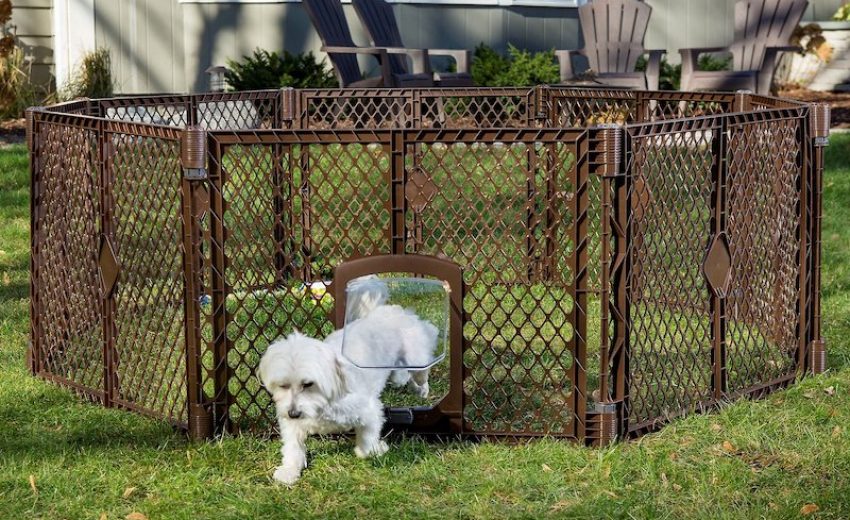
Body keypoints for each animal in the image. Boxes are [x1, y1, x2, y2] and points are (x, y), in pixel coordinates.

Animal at [258, 278, 438, 486]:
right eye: (283, 385)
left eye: (308, 384)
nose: (293, 413)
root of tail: (389, 310)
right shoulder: (293, 424)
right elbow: (293, 447)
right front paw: (289, 471)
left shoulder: (368, 410)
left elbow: (367, 440)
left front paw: (375, 449)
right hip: (395, 370)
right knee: (401, 376)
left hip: (416, 356)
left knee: (421, 371)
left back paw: (422, 389)